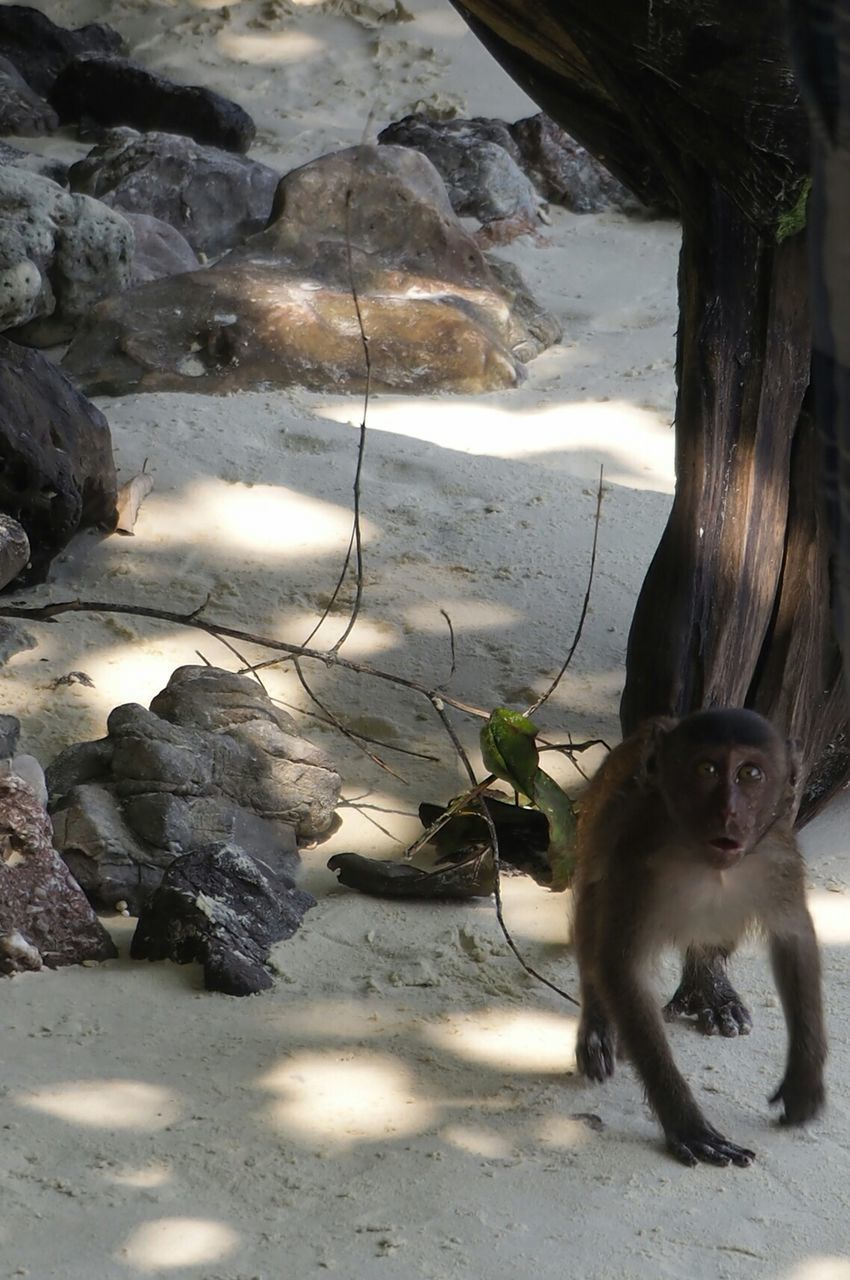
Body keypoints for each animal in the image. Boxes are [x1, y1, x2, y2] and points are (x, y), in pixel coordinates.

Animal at [573, 711, 824, 1172]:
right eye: (706, 769)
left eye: (750, 774)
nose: (728, 810)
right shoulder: (637, 860)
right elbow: (620, 967)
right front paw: (685, 1122)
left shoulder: (778, 856)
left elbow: (794, 939)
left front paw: (804, 1078)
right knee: (594, 905)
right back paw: (599, 1020)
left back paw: (708, 987)